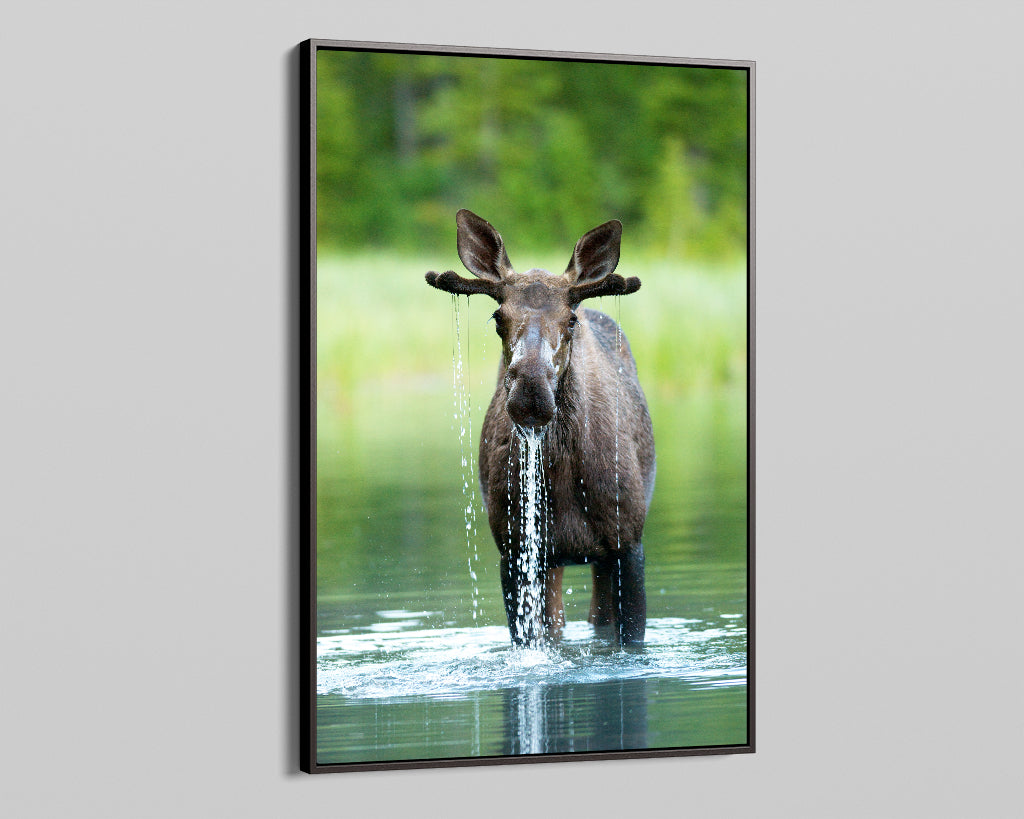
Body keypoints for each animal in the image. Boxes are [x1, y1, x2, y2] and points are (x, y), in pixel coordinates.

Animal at [426, 210, 655, 646]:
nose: (531, 390)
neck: (561, 475)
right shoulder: (516, 549)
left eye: (571, 319)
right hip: (549, 559)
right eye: (498, 317)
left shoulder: (628, 543)